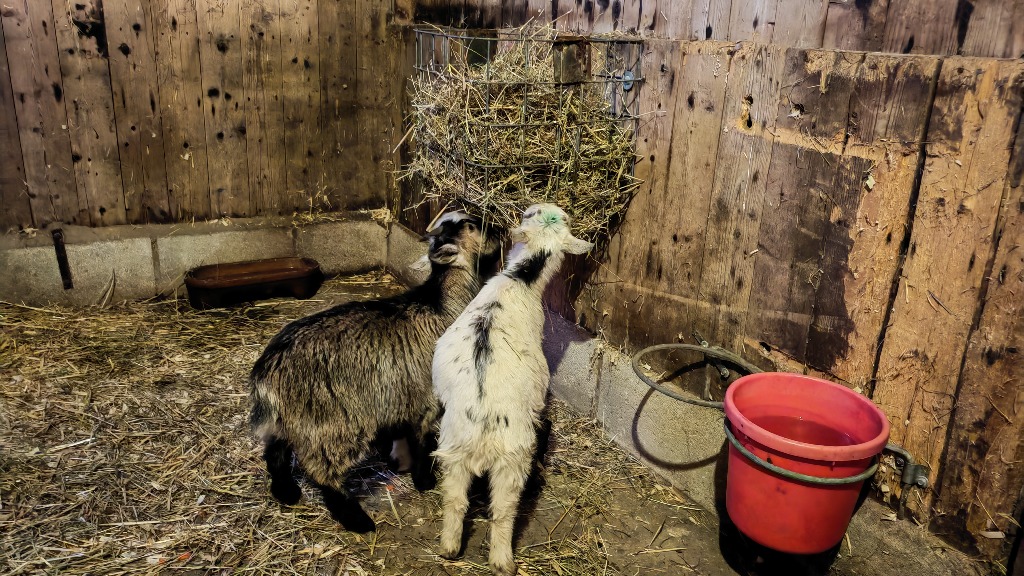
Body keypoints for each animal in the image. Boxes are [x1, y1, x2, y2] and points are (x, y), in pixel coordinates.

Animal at [249, 212, 501, 533]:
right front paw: (424, 480)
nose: (500, 230)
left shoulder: (399, 391)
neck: (442, 305)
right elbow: (421, 441)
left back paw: (286, 491)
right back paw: (356, 519)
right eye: (472, 226)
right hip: (329, 421)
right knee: (321, 469)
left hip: (290, 415)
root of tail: (268, 368)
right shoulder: (426, 399)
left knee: (276, 450)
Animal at [432, 204, 593, 575]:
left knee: (455, 500)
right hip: (513, 458)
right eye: (534, 215)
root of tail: (482, 425)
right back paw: (503, 560)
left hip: (453, 451)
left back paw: (449, 547)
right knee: (504, 510)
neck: (520, 280)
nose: (529, 207)